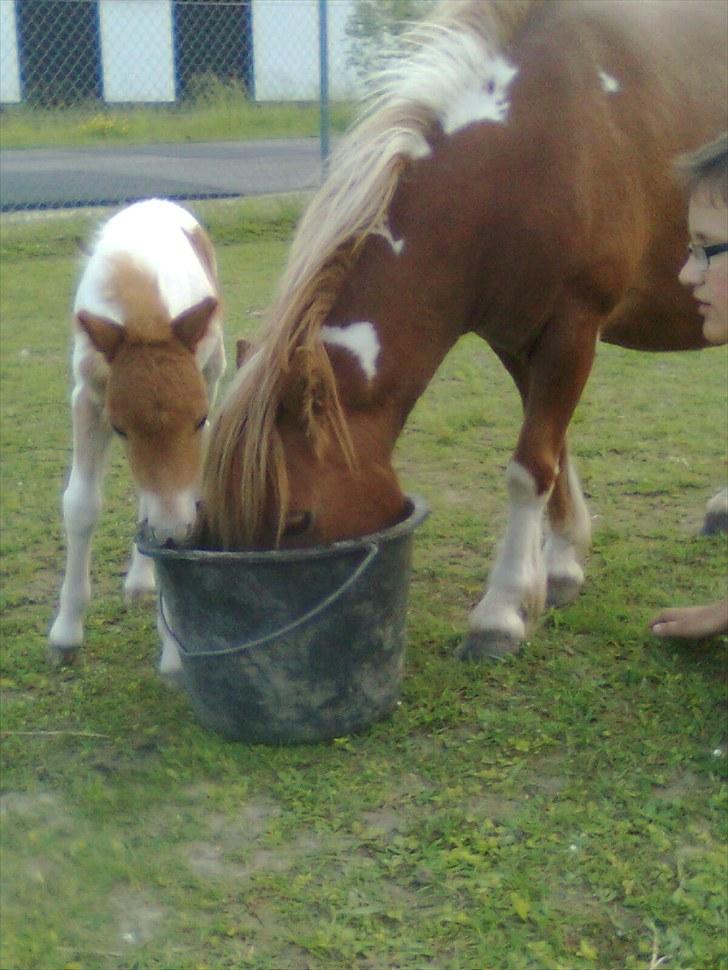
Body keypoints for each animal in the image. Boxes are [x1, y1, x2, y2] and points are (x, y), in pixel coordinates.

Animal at [49, 200, 225, 660]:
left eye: (200, 419)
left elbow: (180, 496)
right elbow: (81, 504)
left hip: (214, 369)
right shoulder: (88, 400)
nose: (173, 532)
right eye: (120, 428)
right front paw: (66, 631)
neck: (145, 316)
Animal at [202, 0, 724, 656]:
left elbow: (531, 467)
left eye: (298, 520)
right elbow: (555, 449)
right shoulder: (515, 338)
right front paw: (560, 565)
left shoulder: (572, 327)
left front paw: (500, 613)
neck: (534, 144)